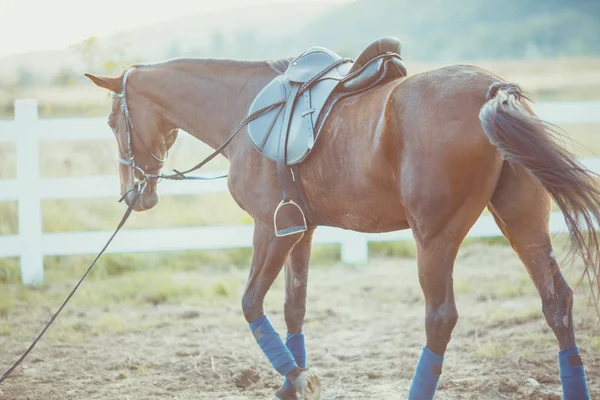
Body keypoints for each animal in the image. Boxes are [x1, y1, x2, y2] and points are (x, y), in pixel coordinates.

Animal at [86, 38, 596, 400]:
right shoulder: (300, 230)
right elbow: (294, 307)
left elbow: (251, 303)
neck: (246, 108)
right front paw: (291, 382)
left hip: (435, 236)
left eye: (113, 122)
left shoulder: (269, 231)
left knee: (440, 318)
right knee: (557, 303)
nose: (133, 195)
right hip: (521, 219)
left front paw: (298, 379)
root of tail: (492, 88)